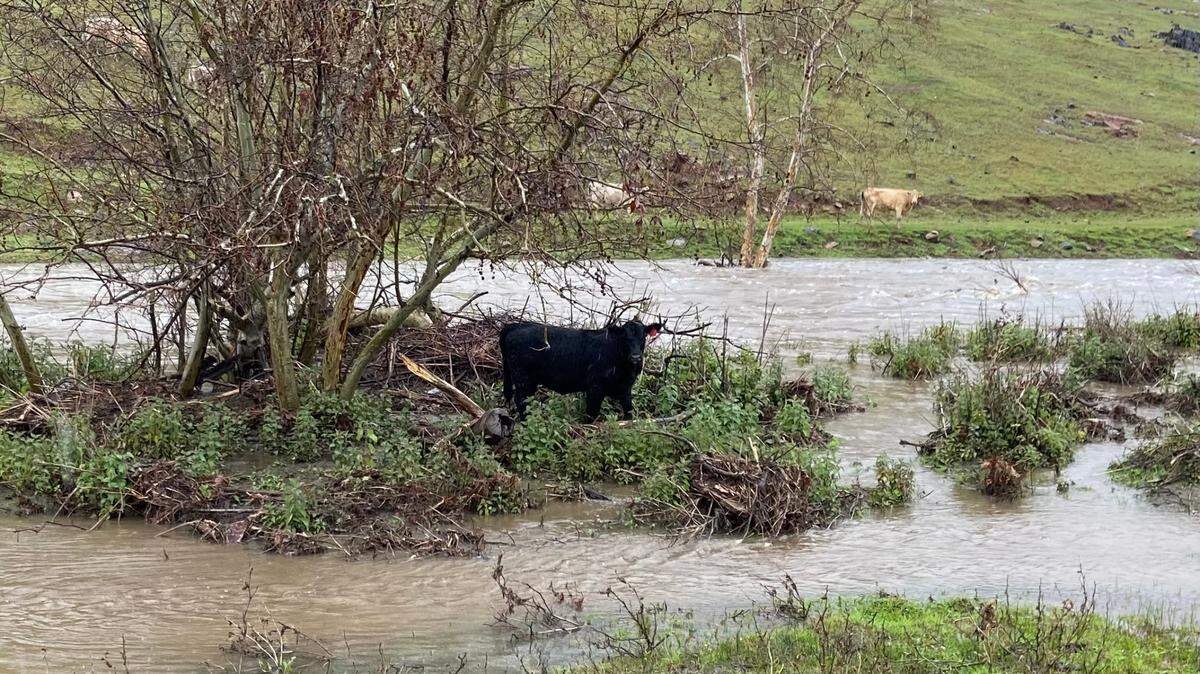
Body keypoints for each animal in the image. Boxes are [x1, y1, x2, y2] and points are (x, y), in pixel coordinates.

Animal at [500, 320, 663, 421]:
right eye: (625, 338)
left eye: (643, 337)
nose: (636, 357)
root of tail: (515, 325)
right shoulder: (595, 387)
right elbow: (591, 413)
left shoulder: (625, 389)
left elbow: (629, 411)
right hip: (522, 378)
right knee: (521, 400)